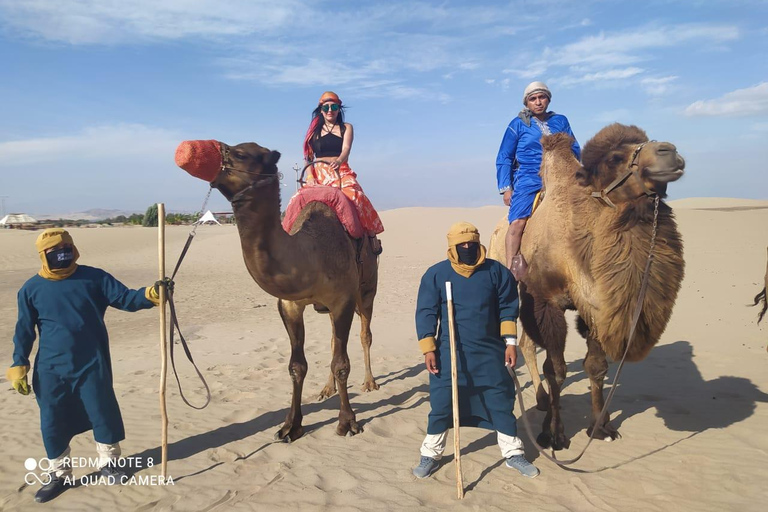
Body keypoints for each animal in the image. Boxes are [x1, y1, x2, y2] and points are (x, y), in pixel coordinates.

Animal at [175, 140, 379, 441]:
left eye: (240, 153)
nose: (185, 150)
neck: (311, 252)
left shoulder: (342, 299)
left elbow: (341, 364)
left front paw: (347, 422)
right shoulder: (290, 304)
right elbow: (297, 366)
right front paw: (290, 426)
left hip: (367, 291)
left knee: (365, 335)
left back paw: (370, 382)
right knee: (333, 342)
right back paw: (326, 389)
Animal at [489, 123, 685, 450]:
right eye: (615, 157)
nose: (670, 151)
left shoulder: (596, 307)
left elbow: (596, 366)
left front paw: (601, 427)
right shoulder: (546, 302)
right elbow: (556, 370)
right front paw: (554, 435)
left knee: (528, 342)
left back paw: (542, 400)